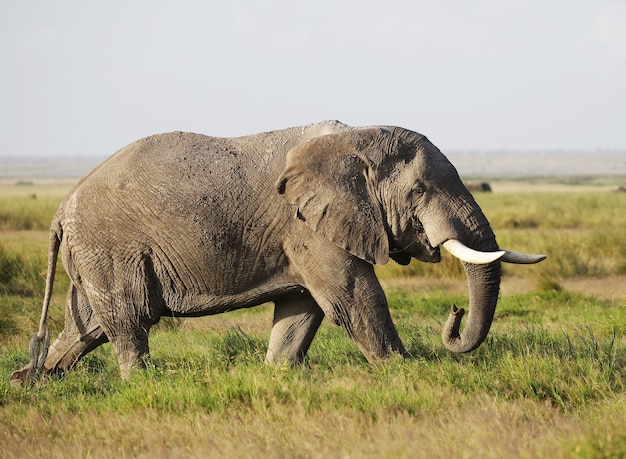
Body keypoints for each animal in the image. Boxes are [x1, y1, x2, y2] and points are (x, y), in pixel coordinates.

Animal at [12, 119, 544, 384]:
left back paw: (30, 383)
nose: (453, 314)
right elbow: (353, 297)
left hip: (94, 254)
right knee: (128, 320)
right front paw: (405, 371)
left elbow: (301, 309)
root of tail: (62, 208)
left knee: (86, 327)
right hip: (110, 247)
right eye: (420, 191)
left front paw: (278, 375)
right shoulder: (306, 225)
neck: (354, 139)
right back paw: (142, 385)